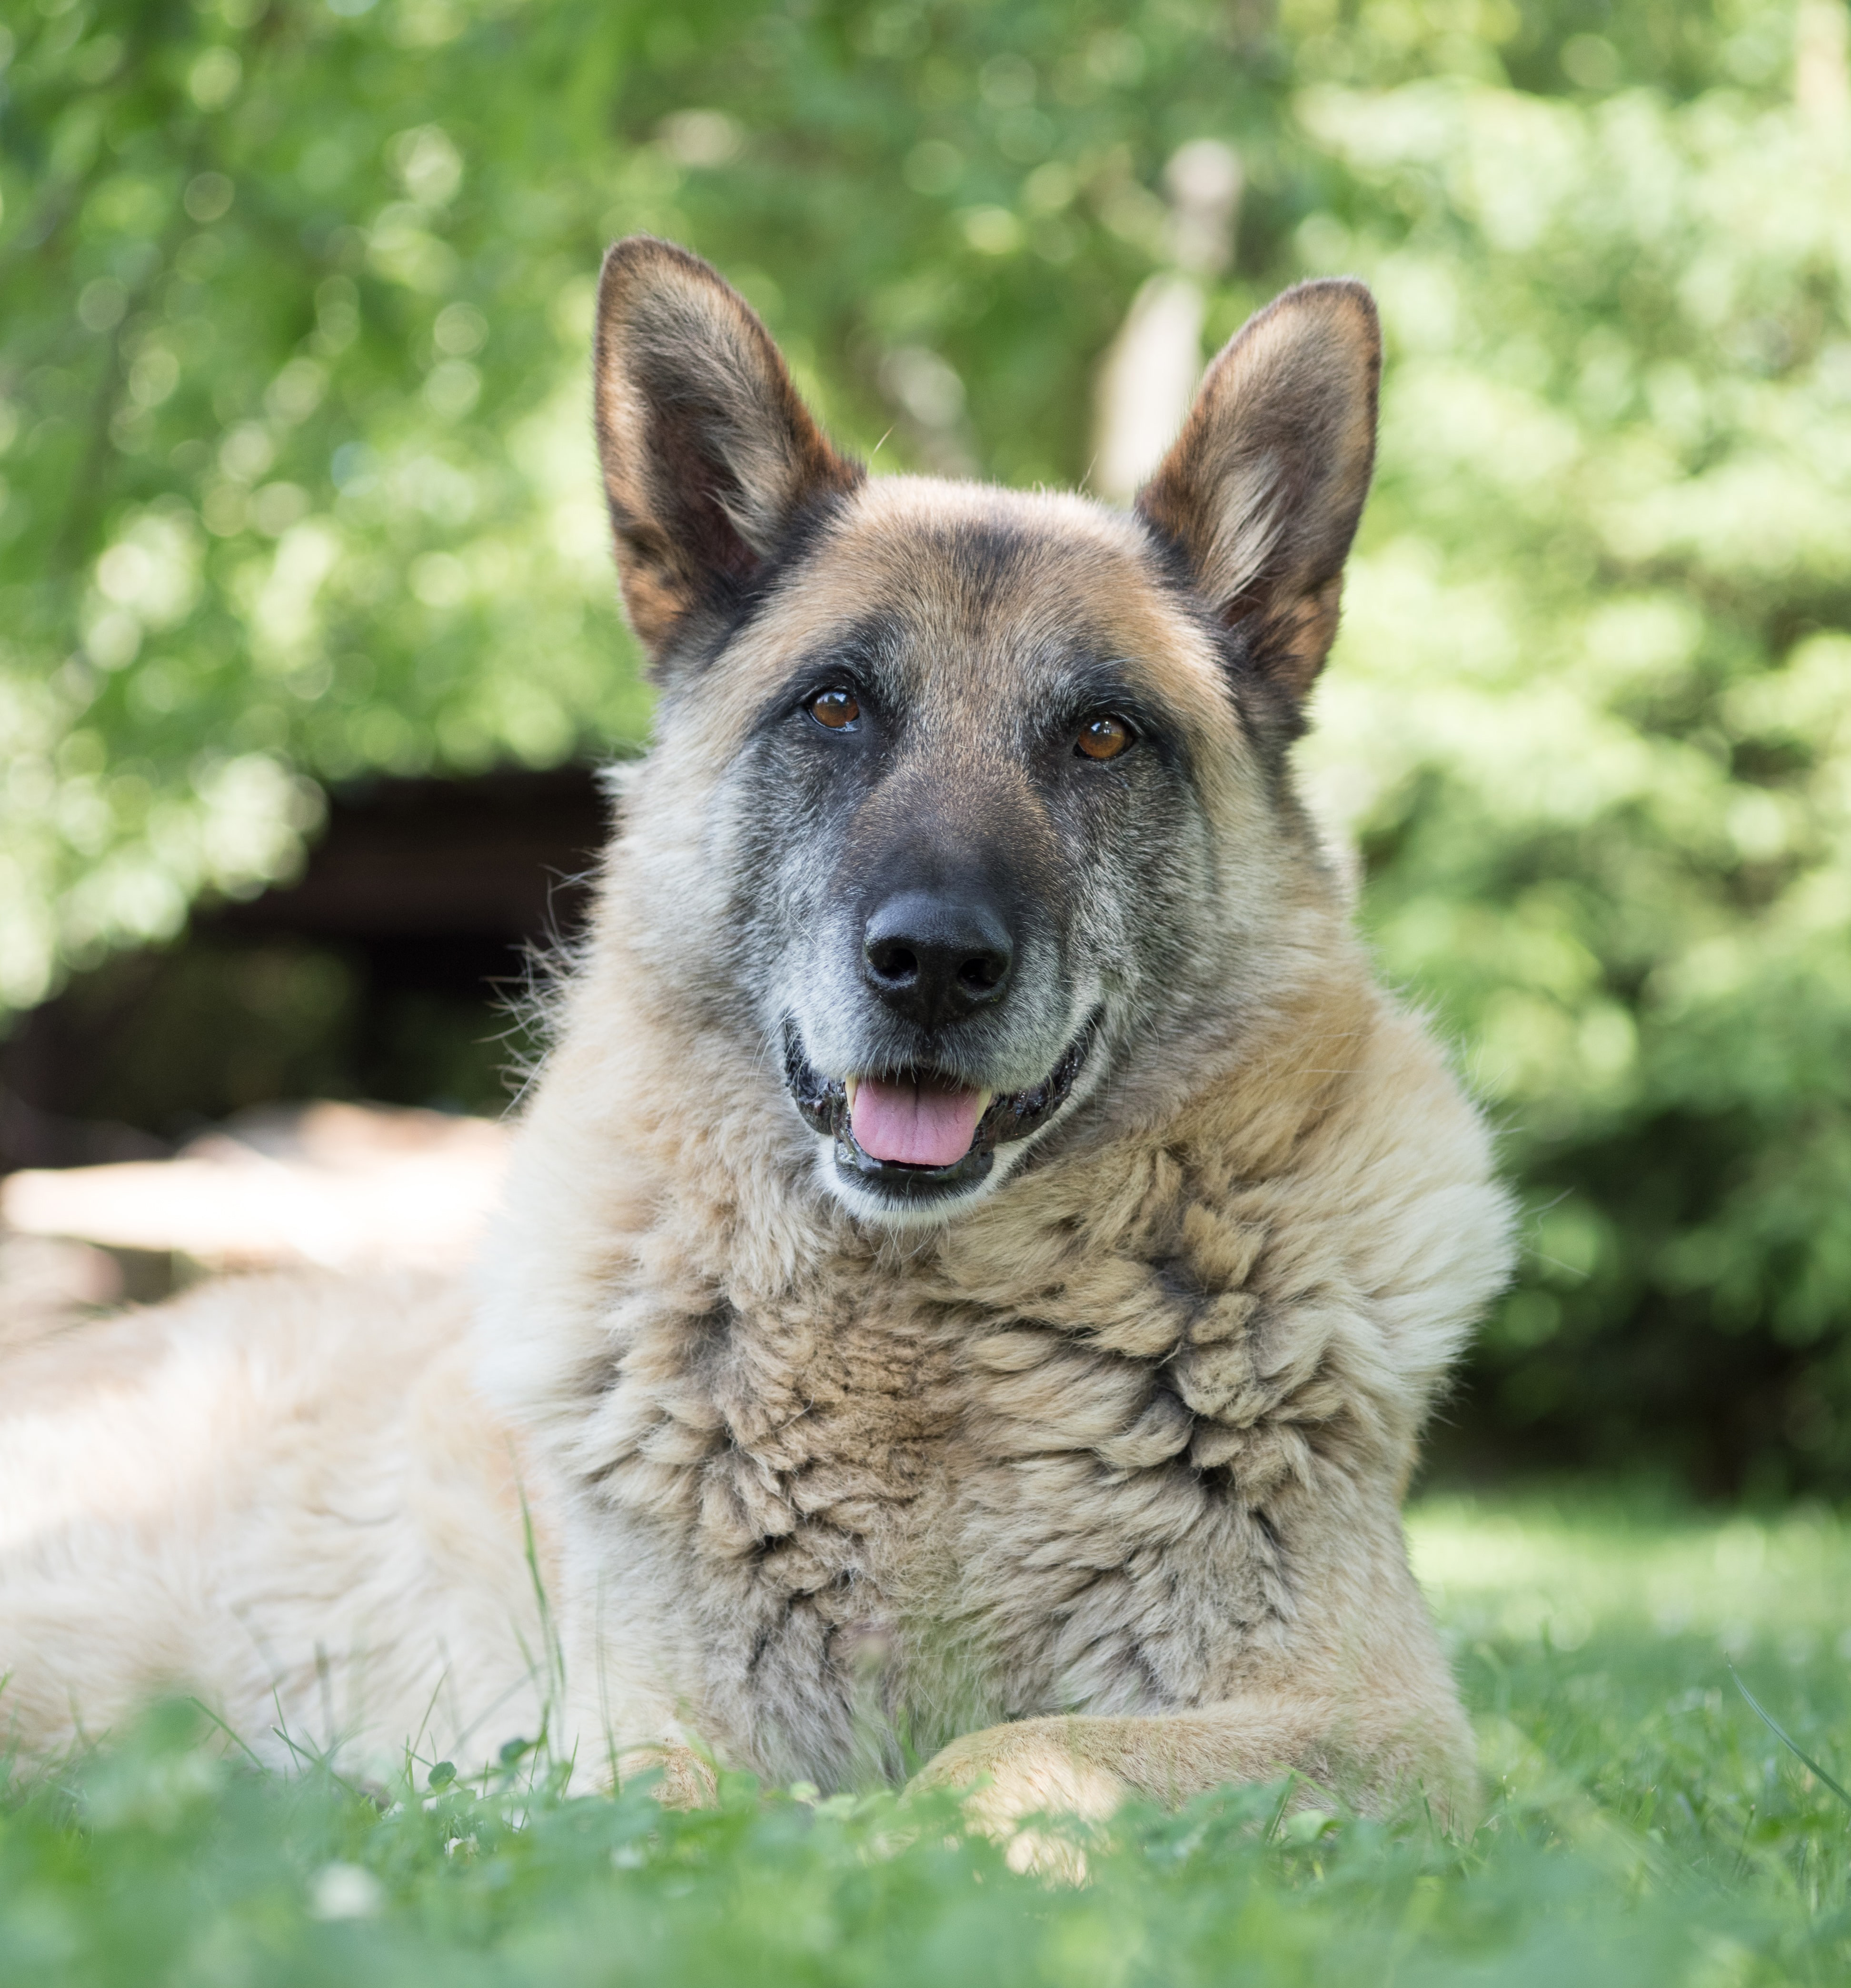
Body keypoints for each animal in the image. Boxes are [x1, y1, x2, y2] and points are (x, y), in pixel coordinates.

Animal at [0, 240, 1511, 1821]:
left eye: (1103, 736)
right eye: (836, 706)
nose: (933, 965)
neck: (928, 1329)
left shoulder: (1387, 1729)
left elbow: (1007, 1752)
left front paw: (911, 1835)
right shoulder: (629, 1734)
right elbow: (708, 1803)